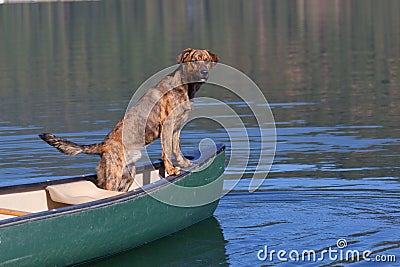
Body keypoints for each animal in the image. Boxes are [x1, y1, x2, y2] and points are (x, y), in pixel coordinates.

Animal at [39, 48, 219, 193]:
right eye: (194, 60)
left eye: (207, 61)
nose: (204, 72)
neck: (185, 85)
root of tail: (103, 146)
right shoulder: (167, 125)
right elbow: (167, 151)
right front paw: (171, 169)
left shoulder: (177, 127)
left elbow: (176, 148)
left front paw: (184, 163)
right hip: (114, 176)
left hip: (128, 174)